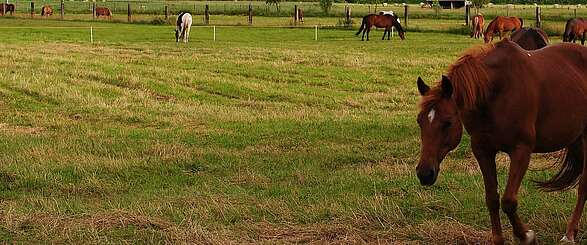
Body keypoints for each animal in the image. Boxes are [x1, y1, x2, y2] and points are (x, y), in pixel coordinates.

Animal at [416, 39, 587, 244]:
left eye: (447, 122)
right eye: (419, 121)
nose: (425, 173)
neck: (498, 91)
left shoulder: (521, 150)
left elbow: (509, 201)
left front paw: (526, 235)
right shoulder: (483, 150)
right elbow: (492, 198)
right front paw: (498, 238)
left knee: (583, 186)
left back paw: (569, 234)